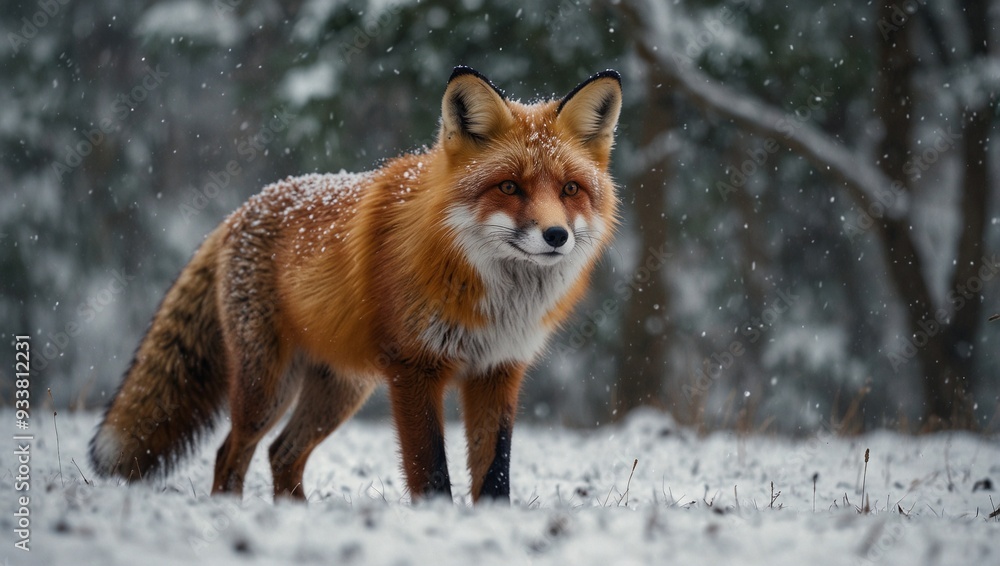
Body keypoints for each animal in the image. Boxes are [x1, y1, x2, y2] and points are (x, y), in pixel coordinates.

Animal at [89, 66, 623, 503]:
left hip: (340, 390)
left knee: (282, 454)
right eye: (509, 186)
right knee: (231, 453)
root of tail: (242, 209)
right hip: (268, 387)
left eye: (570, 189)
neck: (496, 298)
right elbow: (431, 471)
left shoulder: (497, 371)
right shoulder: (414, 369)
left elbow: (495, 473)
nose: (556, 236)